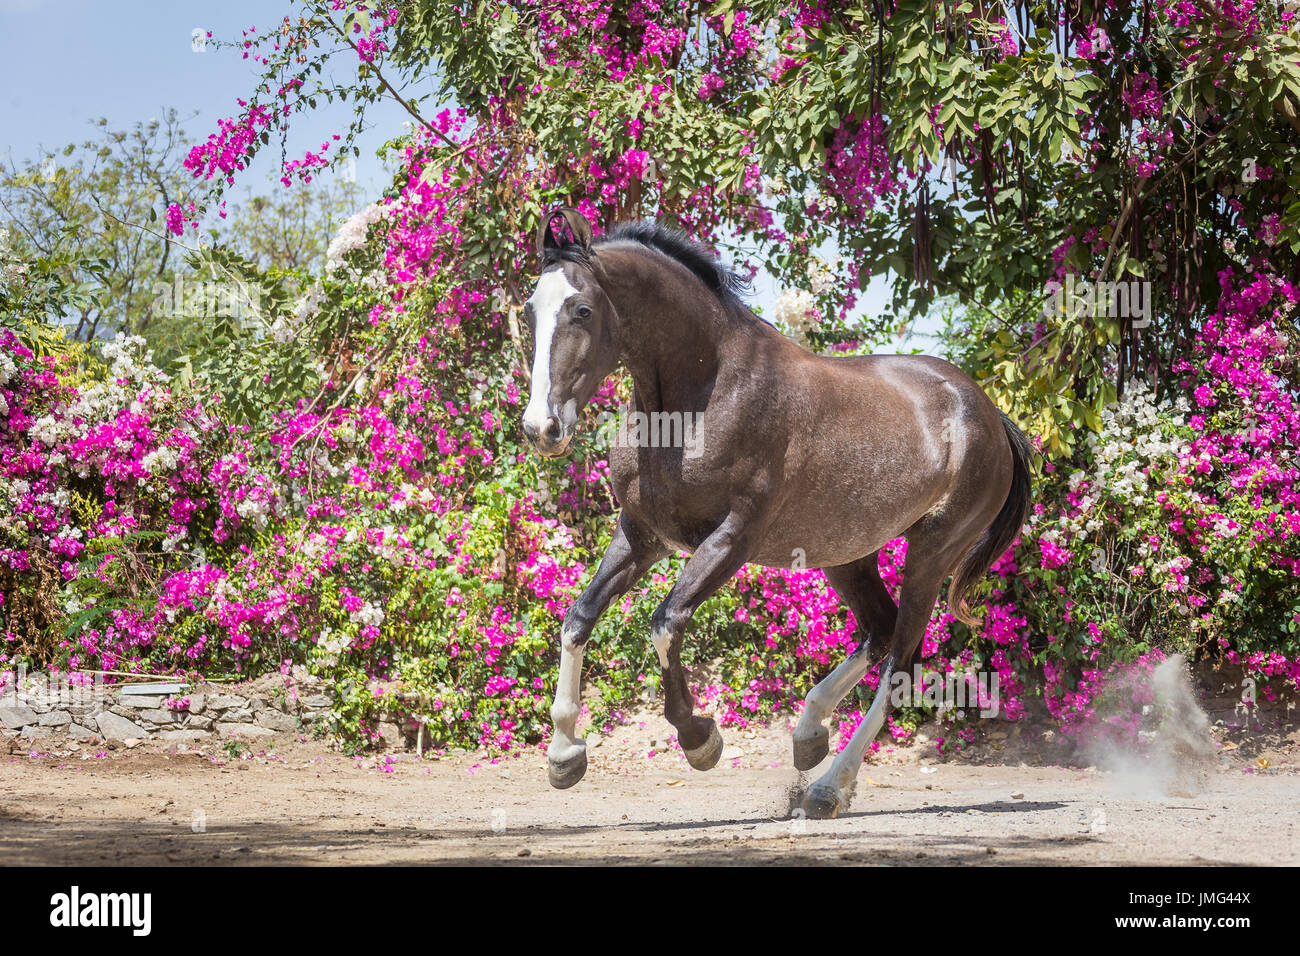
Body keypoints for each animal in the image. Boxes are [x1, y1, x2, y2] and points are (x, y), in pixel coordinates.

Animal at [519, 207, 1032, 818]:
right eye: (529, 311)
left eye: (582, 310)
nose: (540, 428)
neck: (703, 395)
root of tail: (990, 414)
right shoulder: (642, 535)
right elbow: (577, 619)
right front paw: (564, 754)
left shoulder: (732, 539)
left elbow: (666, 623)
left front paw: (699, 738)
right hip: (845, 553)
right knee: (880, 631)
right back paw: (810, 736)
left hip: (932, 552)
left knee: (900, 665)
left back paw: (827, 787)